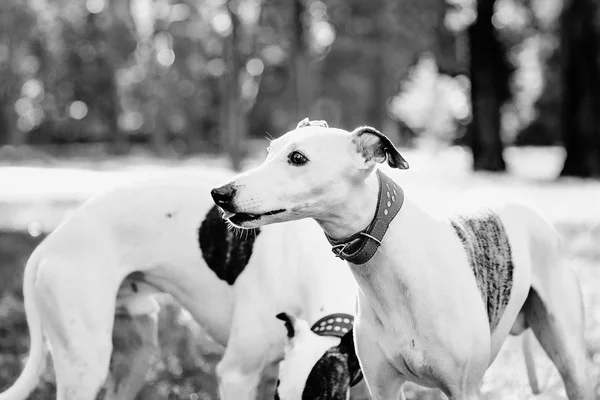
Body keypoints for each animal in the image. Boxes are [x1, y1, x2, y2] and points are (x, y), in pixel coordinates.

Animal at [0, 173, 360, 400]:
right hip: (85, 365)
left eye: (323, 397)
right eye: (279, 396)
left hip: (136, 352)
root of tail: (49, 242)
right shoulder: (237, 375)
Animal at [210, 119, 592, 400]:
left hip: (572, 363)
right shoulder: (383, 387)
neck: (395, 271)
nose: (220, 193)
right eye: (269, 152)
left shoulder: (464, 389)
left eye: (298, 158)